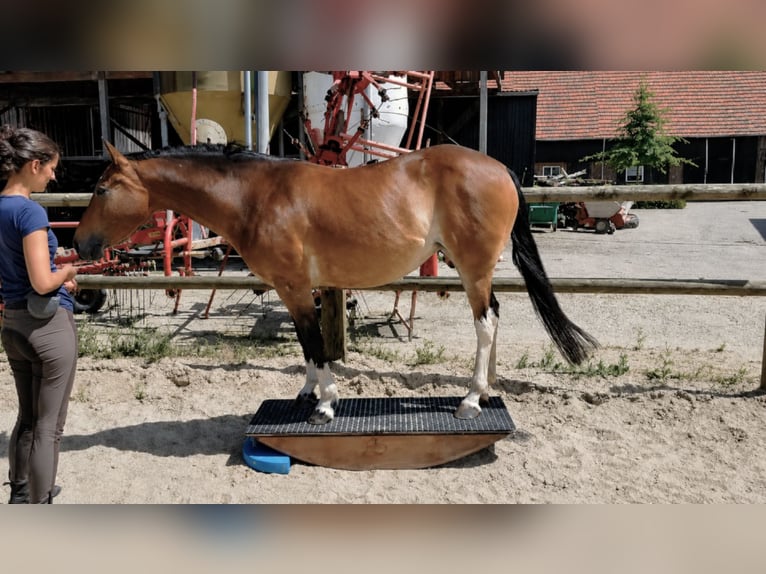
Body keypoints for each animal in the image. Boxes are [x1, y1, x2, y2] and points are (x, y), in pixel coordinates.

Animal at [74, 141, 598, 425]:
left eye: (101, 188)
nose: (78, 243)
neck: (256, 196)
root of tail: (498, 168)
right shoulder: (293, 288)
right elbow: (305, 345)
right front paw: (307, 392)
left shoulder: (293, 285)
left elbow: (314, 341)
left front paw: (324, 405)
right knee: (494, 319)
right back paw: (487, 391)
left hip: (473, 269)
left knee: (485, 324)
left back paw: (470, 400)